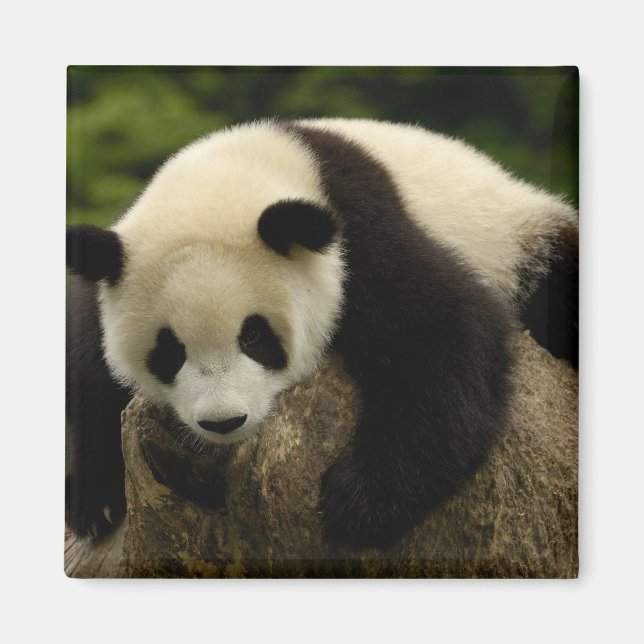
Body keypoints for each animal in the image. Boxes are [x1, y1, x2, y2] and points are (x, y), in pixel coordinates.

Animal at [66, 118, 578, 548]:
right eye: (170, 350)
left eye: (254, 336)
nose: (224, 421)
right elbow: (90, 372)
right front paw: (95, 502)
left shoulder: (359, 232)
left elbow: (447, 327)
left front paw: (358, 505)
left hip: (523, 243)